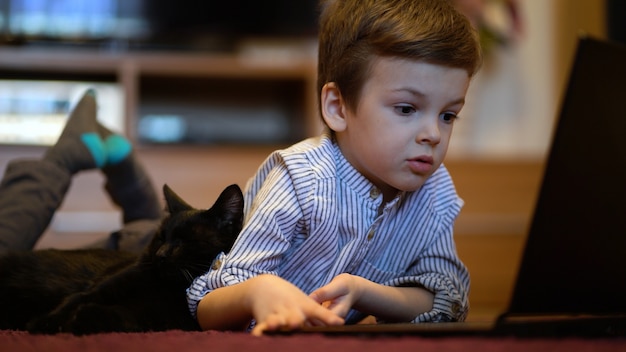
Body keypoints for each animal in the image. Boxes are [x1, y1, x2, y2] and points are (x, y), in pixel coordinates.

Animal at [0, 183, 243, 334]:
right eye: (161, 237)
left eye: (184, 241)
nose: (160, 255)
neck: (162, 286)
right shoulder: (105, 287)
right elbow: (76, 299)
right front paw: (45, 322)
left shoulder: (169, 318)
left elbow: (127, 315)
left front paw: (84, 316)